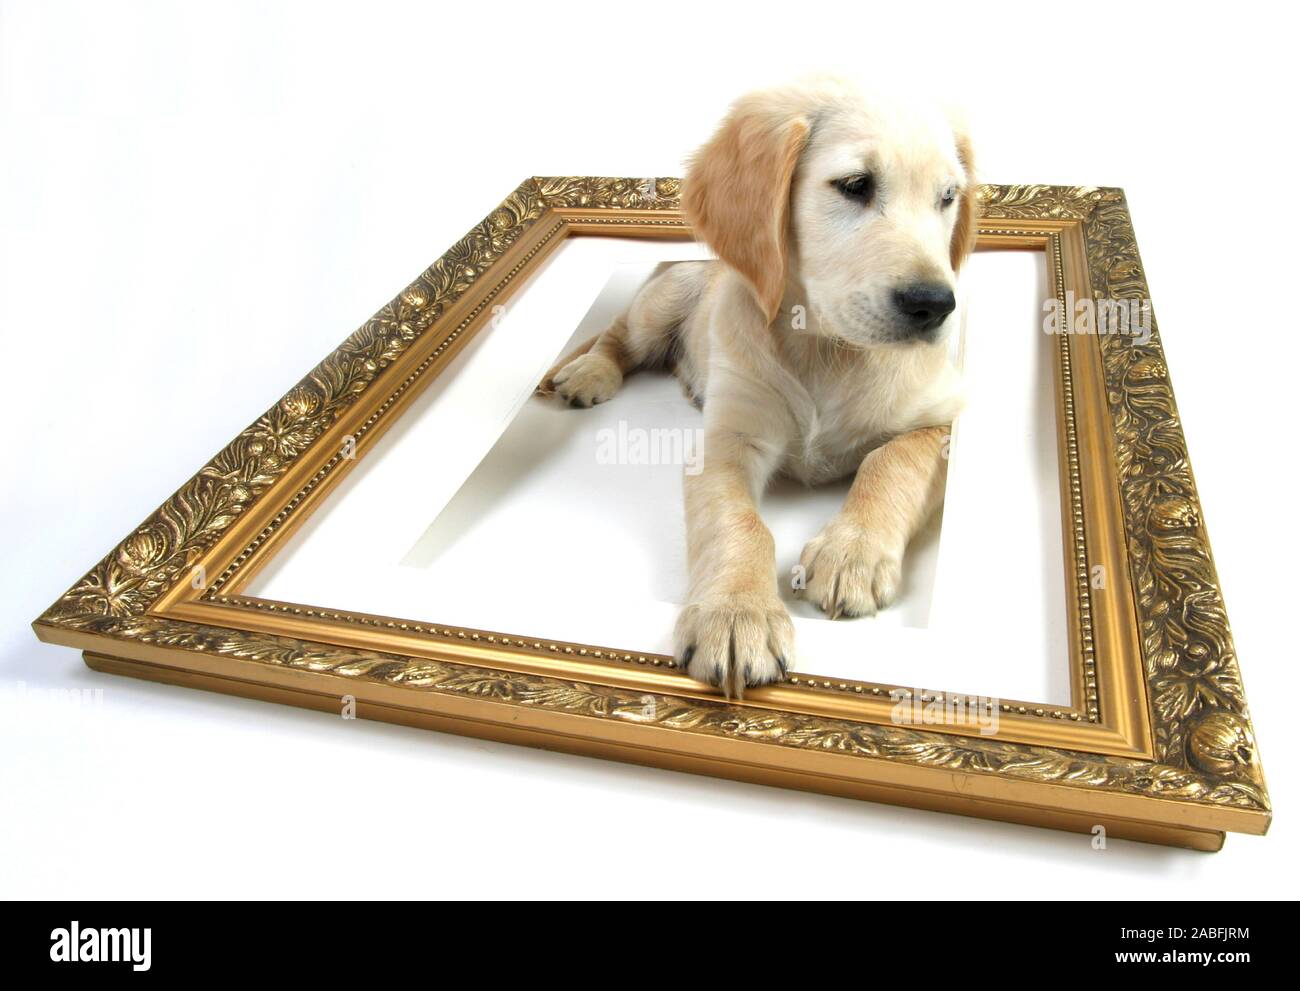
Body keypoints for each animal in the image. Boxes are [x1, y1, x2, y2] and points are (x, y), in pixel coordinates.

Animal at [538, 77, 977, 697]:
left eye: (948, 197)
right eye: (855, 185)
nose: (935, 305)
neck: (828, 348)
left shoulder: (945, 417)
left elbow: (891, 460)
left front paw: (853, 553)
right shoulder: (725, 442)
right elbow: (738, 523)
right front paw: (736, 614)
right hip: (663, 298)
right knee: (618, 335)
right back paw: (589, 373)